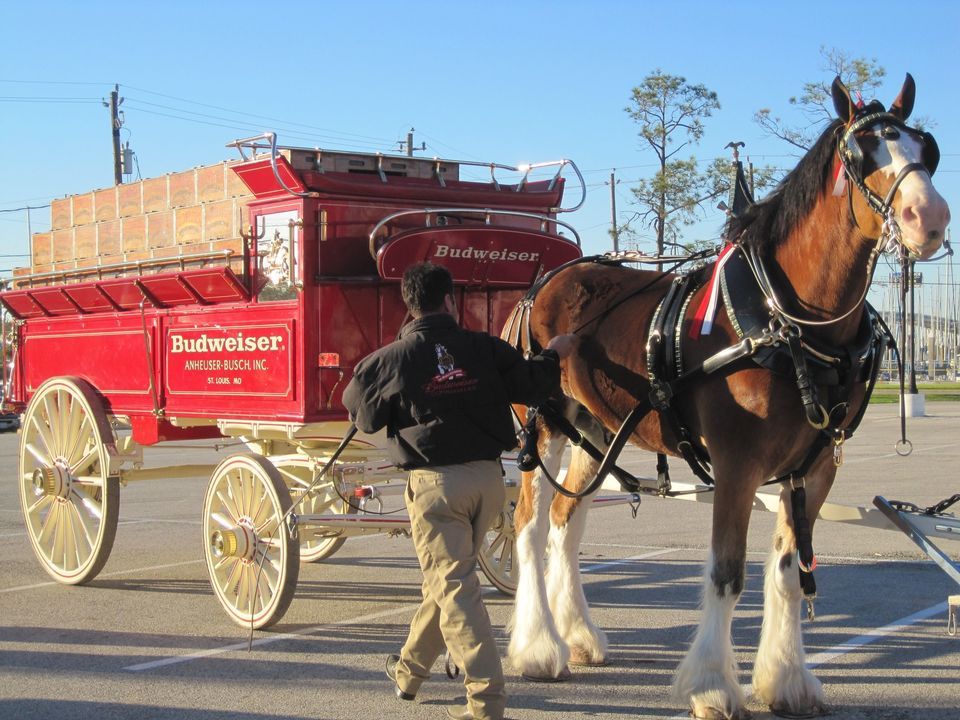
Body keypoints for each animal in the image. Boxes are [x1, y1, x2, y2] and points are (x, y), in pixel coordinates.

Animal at [501, 74, 949, 719]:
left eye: (925, 149)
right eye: (863, 154)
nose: (929, 216)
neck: (786, 320)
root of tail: (545, 284)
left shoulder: (815, 469)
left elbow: (787, 571)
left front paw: (787, 680)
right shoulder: (738, 465)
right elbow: (726, 573)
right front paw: (713, 685)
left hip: (596, 432)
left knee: (565, 524)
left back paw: (580, 635)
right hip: (541, 429)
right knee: (530, 527)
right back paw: (539, 648)